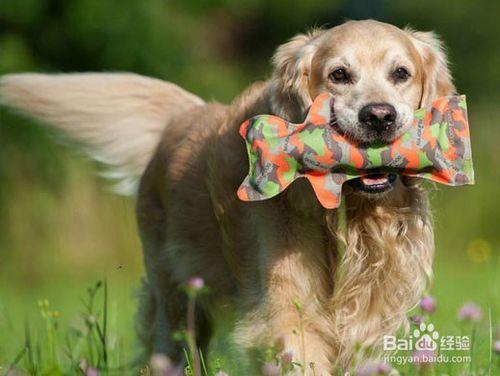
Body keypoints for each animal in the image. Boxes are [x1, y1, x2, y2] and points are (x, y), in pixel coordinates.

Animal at [0, 19, 454, 374]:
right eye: (339, 74)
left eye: (401, 73)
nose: (378, 116)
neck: (346, 214)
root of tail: (183, 113)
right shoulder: (287, 308)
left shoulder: (370, 319)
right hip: (176, 298)